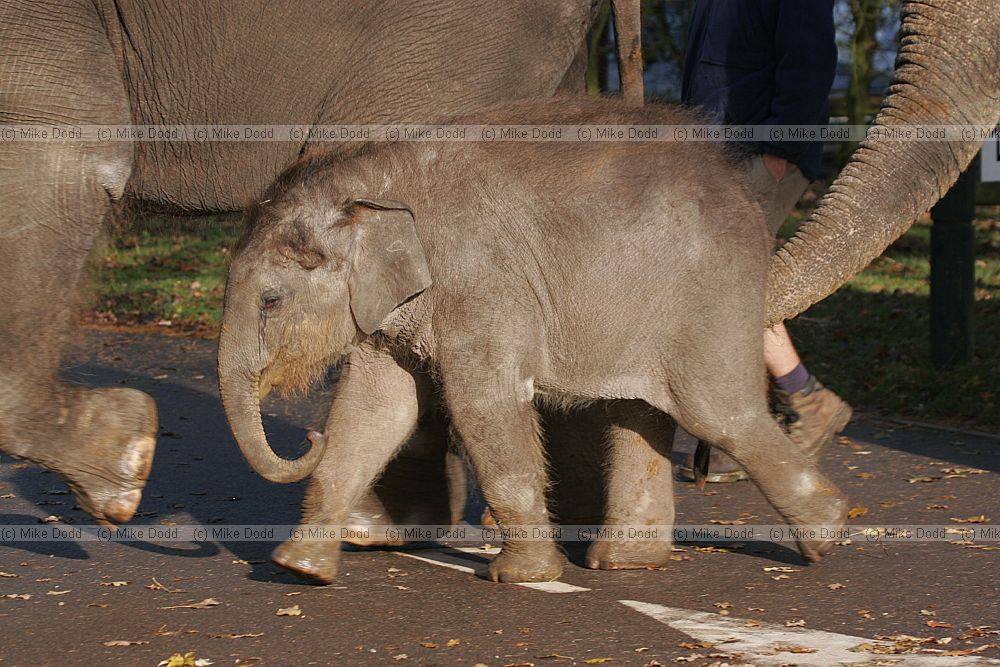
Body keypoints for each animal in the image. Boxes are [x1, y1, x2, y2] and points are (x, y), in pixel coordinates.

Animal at [0, 0, 652, 525]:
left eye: (271, 301)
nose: (311, 438)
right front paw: (125, 454)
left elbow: (71, 150)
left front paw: (126, 456)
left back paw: (378, 520)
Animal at [217, 98, 850, 584]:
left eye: (270, 300)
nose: (307, 437)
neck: (373, 181)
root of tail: (742, 191)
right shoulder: (390, 308)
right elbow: (373, 409)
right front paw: (298, 568)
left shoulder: (482, 284)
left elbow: (484, 403)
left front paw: (522, 577)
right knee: (640, 410)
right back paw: (625, 563)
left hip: (713, 294)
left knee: (720, 414)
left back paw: (830, 536)